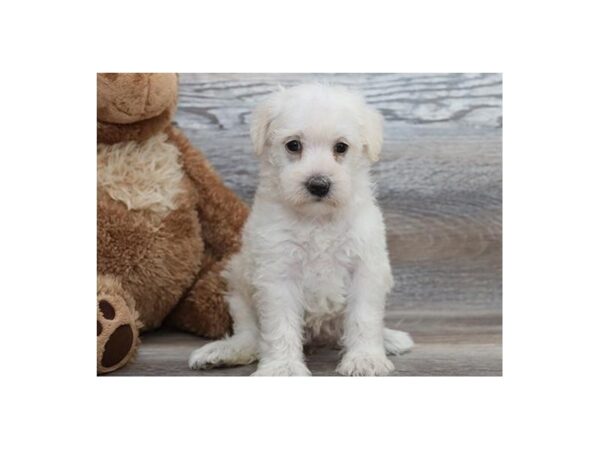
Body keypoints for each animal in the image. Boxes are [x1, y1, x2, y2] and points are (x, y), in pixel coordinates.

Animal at [188, 84, 412, 376]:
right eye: (293, 145)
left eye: (341, 147)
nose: (318, 184)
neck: (317, 219)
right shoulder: (277, 272)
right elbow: (280, 326)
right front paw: (282, 367)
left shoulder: (365, 266)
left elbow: (364, 317)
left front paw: (365, 359)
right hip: (238, 284)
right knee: (249, 335)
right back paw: (224, 352)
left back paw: (390, 339)